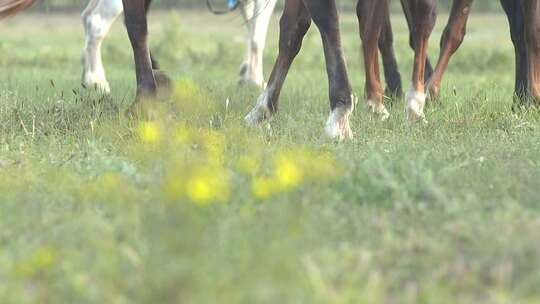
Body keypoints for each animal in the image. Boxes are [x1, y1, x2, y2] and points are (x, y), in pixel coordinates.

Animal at [81, 0, 276, 92]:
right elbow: (257, 35)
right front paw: (255, 80)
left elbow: (251, 26)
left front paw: (246, 73)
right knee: (96, 20)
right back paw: (96, 80)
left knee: (88, 16)